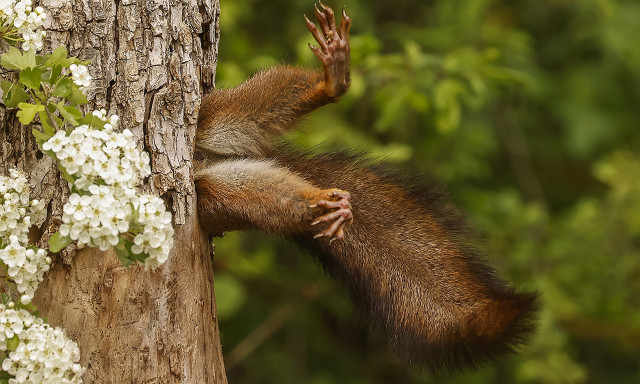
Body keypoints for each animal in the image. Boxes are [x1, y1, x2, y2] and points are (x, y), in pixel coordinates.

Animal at [194, 3, 536, 374]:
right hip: (214, 196)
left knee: (253, 104)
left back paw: (331, 82)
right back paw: (323, 203)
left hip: (211, 116)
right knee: (261, 195)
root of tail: (204, 160)